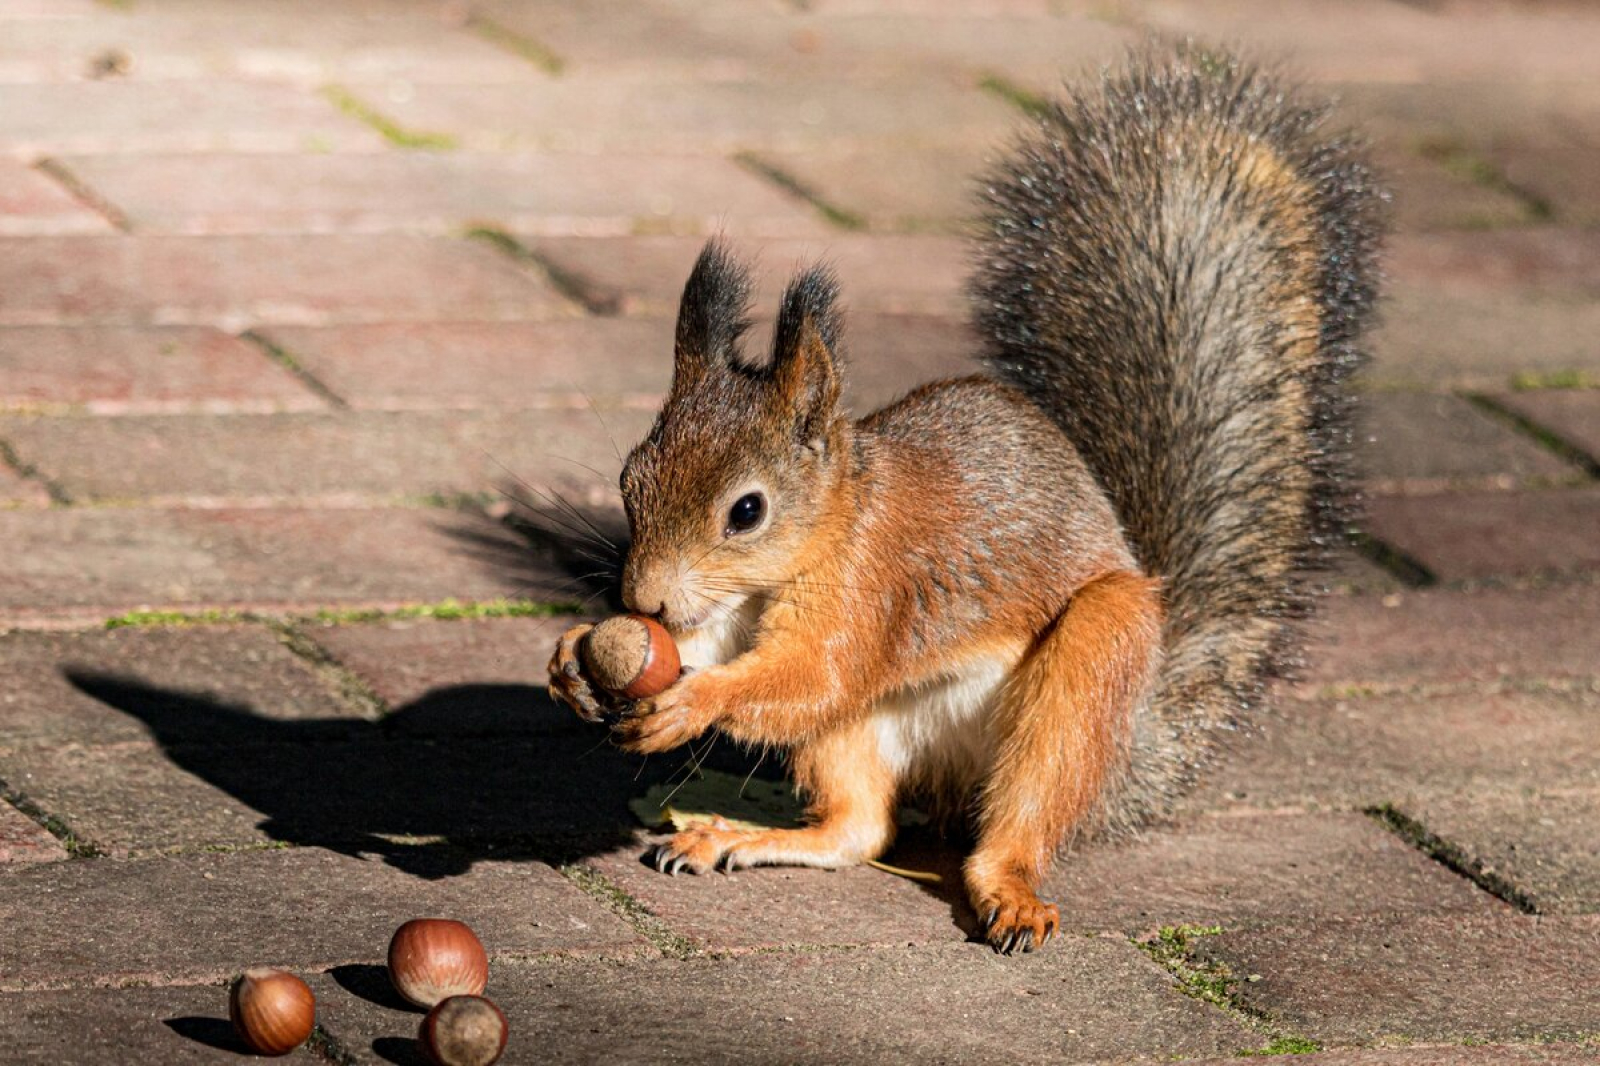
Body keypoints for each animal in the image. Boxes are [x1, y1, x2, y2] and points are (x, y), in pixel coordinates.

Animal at [547, 45, 1376, 947]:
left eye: (747, 510)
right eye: (629, 478)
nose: (642, 600)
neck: (832, 524)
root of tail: (1131, 748)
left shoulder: (868, 594)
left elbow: (807, 678)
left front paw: (696, 701)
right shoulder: (730, 615)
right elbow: (722, 655)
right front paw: (574, 660)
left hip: (1090, 667)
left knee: (1016, 815)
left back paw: (1009, 890)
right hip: (859, 734)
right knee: (861, 830)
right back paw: (735, 836)